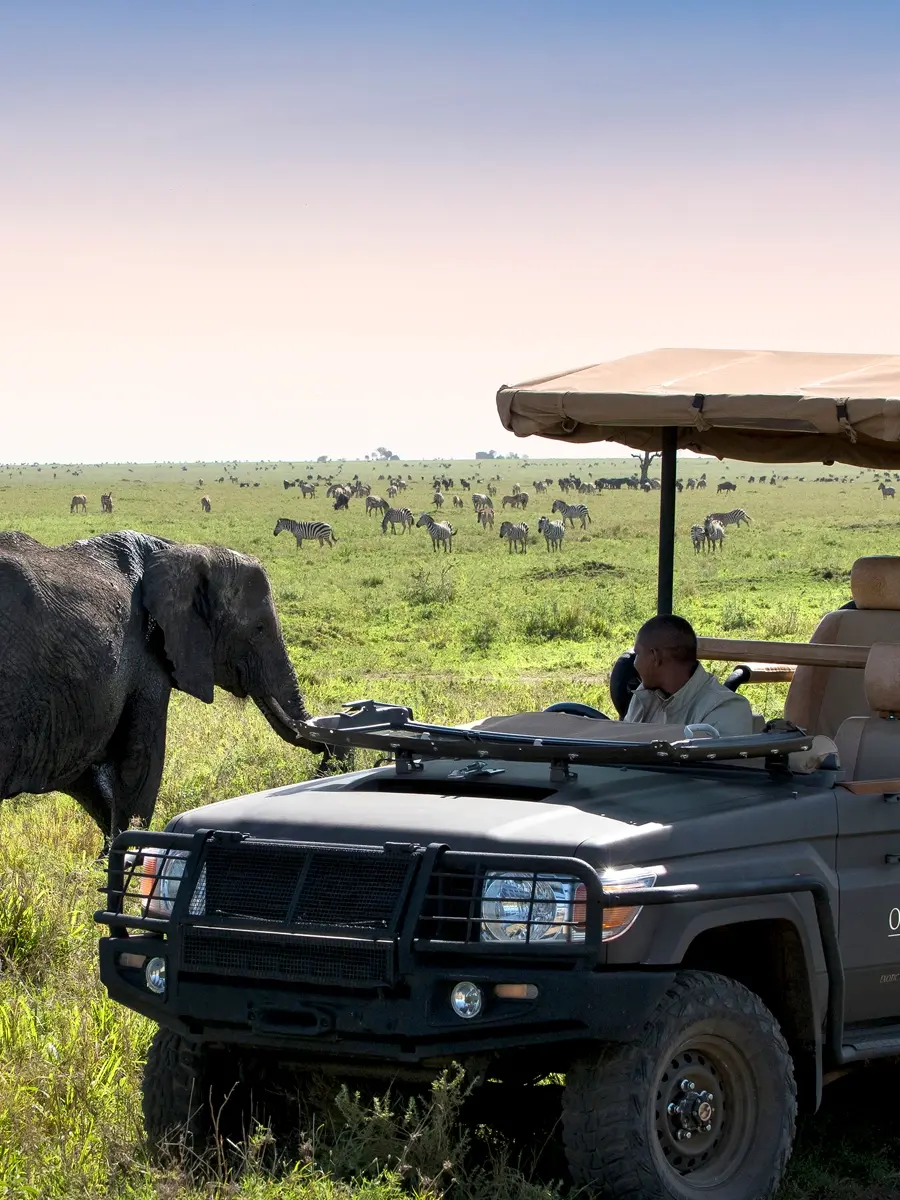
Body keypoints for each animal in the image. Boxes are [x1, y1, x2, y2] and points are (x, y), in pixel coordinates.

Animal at [0, 530, 321, 842]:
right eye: (259, 630)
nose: (323, 766)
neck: (181, 549)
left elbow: (91, 779)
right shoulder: (145, 657)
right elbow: (140, 764)